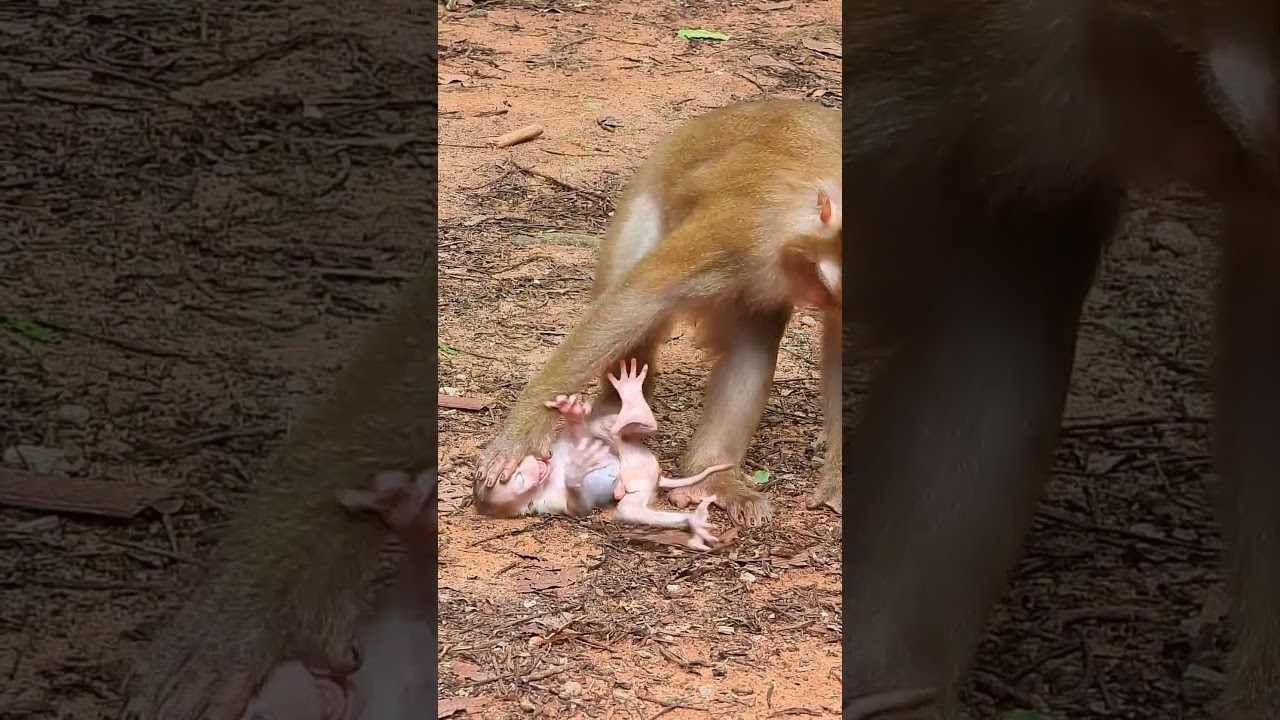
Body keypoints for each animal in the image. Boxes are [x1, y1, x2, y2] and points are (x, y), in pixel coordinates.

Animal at [473, 99, 842, 529]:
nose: (825, 299)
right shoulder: (744, 226)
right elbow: (640, 297)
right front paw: (520, 434)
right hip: (641, 209)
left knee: (755, 337)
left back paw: (710, 478)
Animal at [475, 360, 732, 549]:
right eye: (520, 480)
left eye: (518, 471)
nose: (536, 468)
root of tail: (657, 476)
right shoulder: (546, 502)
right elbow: (580, 507)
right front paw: (577, 471)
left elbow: (578, 437)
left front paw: (572, 413)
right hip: (639, 485)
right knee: (629, 509)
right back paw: (692, 520)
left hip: (630, 450)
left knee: (608, 429)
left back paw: (632, 404)